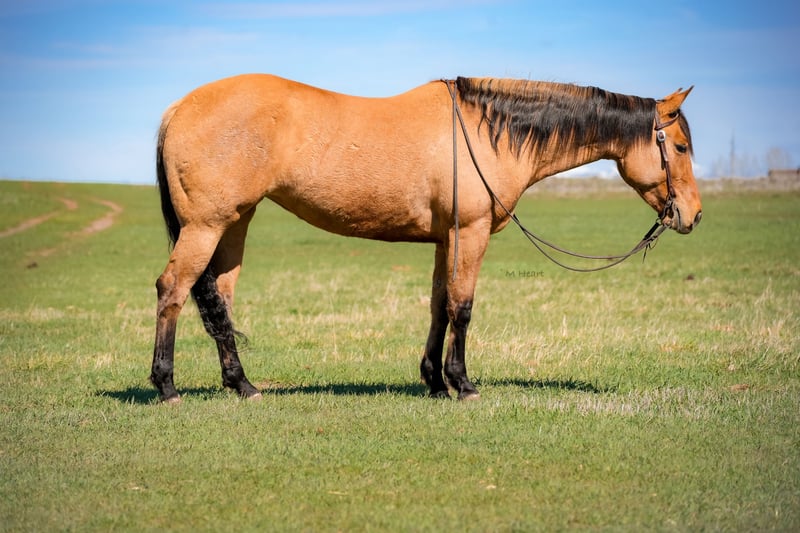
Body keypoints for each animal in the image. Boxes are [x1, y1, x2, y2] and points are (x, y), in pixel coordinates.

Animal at [151, 74, 701, 403]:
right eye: (679, 146)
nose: (692, 215)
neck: (485, 131)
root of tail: (178, 107)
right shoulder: (470, 234)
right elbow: (463, 306)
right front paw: (463, 383)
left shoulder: (445, 240)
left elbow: (439, 306)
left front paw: (434, 381)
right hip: (206, 226)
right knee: (173, 291)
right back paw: (167, 385)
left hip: (235, 223)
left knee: (220, 301)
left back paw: (242, 384)